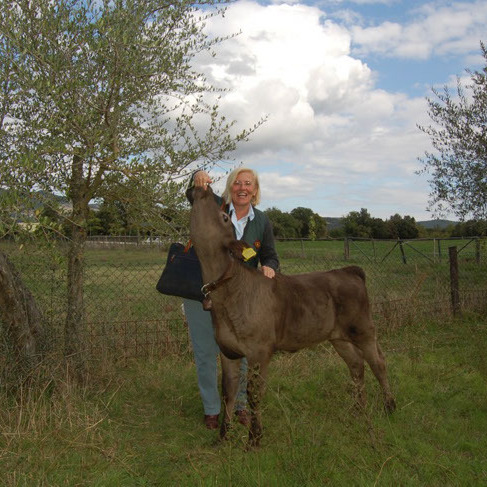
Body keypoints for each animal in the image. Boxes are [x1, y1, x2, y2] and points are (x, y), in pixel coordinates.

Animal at [191, 188, 396, 450]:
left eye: (225, 217)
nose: (203, 188)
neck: (228, 295)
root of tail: (349, 270)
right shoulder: (228, 349)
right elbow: (228, 390)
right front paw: (223, 437)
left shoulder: (260, 349)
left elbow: (254, 393)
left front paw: (254, 439)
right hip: (338, 336)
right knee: (356, 364)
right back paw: (358, 409)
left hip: (363, 328)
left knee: (378, 362)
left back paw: (389, 406)